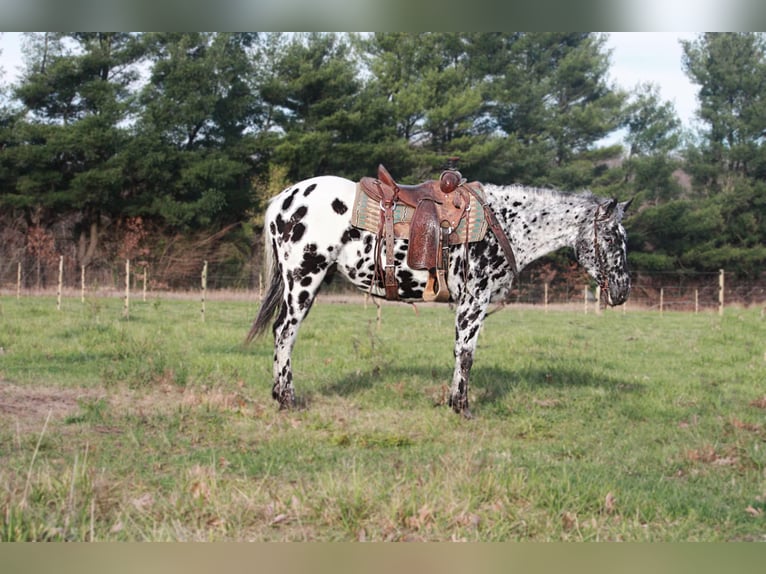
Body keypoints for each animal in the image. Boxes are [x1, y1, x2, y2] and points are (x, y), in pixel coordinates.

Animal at [249, 171, 632, 418]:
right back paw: (287, 399)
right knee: (285, 332)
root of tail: (285, 199)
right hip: (303, 278)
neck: (503, 223)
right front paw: (461, 407)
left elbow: (461, 353)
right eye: (612, 236)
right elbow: (466, 354)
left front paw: (454, 402)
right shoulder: (474, 301)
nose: (622, 290)